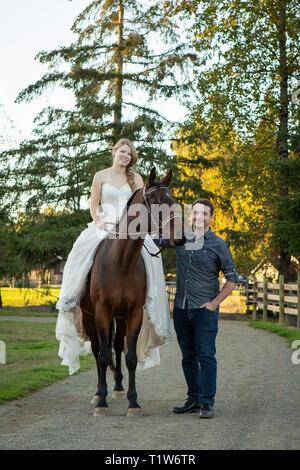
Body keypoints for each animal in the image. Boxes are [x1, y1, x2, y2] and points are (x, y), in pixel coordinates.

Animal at [79, 167, 185, 416]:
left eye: (173, 201)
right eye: (155, 202)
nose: (180, 237)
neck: (122, 260)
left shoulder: (134, 313)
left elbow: (131, 357)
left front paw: (133, 402)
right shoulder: (102, 313)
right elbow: (103, 355)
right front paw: (101, 402)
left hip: (120, 318)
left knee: (117, 346)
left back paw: (117, 387)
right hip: (90, 317)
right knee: (99, 349)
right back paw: (98, 393)